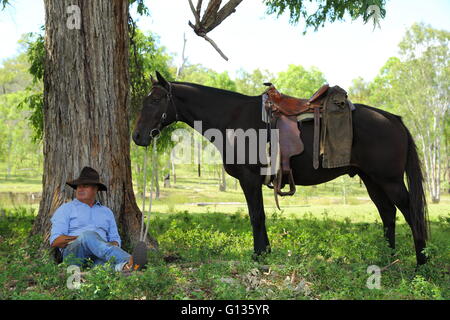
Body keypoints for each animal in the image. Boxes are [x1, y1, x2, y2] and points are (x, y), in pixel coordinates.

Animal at [133, 71, 428, 266]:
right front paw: (265, 252)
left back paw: (421, 262)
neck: (231, 119)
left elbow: (256, 216)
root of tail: (394, 119)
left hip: (389, 180)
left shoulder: (249, 179)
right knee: (388, 213)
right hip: (371, 180)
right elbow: (260, 216)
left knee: (410, 212)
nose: (137, 136)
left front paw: (258, 255)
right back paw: (388, 257)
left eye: (155, 101)